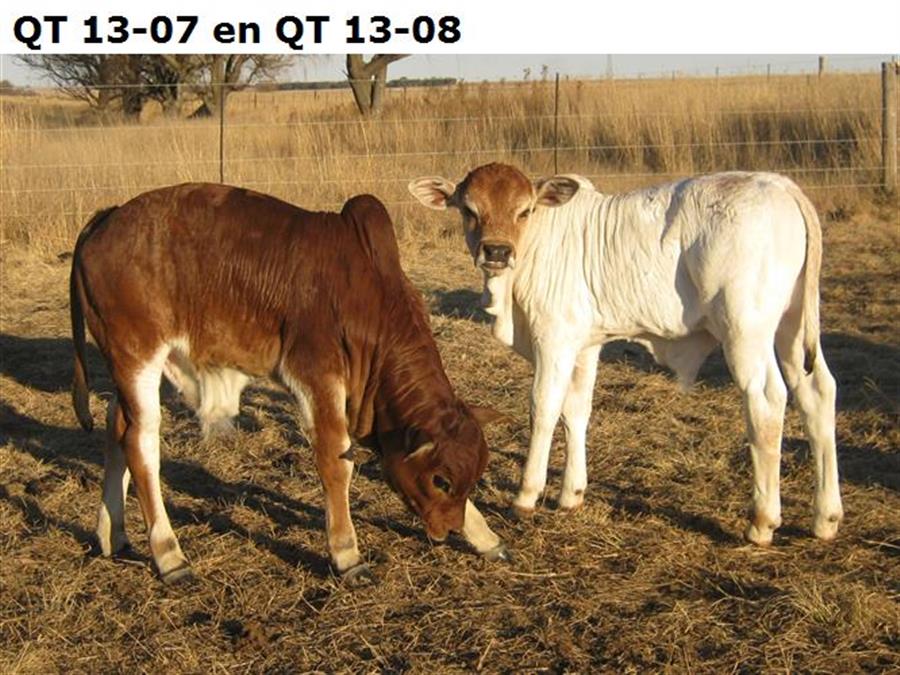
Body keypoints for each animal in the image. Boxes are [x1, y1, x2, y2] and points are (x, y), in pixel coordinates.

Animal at [70, 183, 509, 585]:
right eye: (440, 480)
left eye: (472, 478)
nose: (448, 529)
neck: (371, 301)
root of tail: (109, 217)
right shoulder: (316, 374)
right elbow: (336, 461)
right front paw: (346, 554)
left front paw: (483, 535)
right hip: (137, 355)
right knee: (140, 444)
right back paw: (168, 555)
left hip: (133, 367)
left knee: (117, 427)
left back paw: (113, 534)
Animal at [409, 163, 843, 545]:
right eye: (469, 210)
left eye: (525, 210)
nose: (497, 252)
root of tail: (780, 185)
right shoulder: (585, 345)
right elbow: (576, 411)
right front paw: (572, 494)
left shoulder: (554, 338)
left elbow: (544, 409)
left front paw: (527, 496)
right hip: (791, 327)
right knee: (817, 392)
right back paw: (825, 517)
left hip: (746, 332)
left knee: (767, 403)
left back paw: (762, 521)